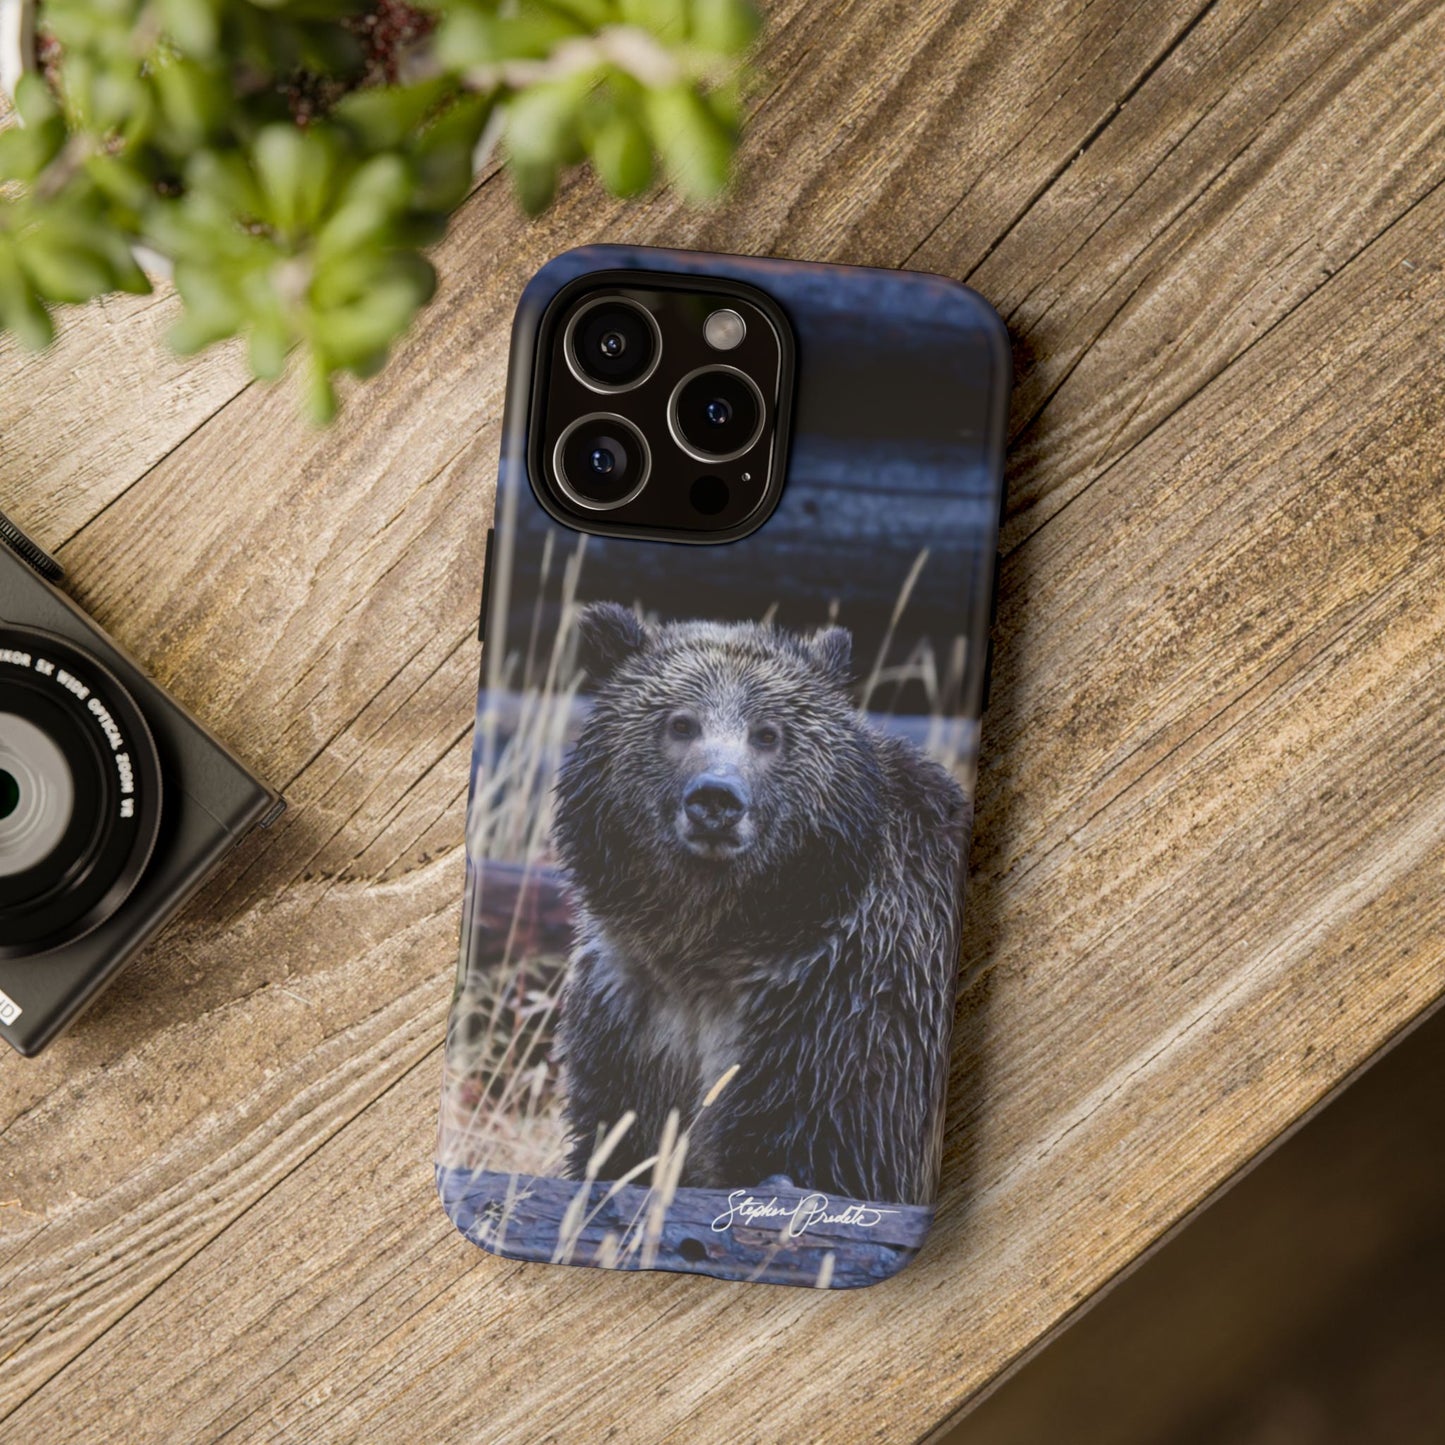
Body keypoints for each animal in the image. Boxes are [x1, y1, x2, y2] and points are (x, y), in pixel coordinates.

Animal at [551, 602, 970, 1205]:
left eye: (768, 733)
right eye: (681, 723)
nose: (716, 799)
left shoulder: (845, 1017)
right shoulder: (632, 1013)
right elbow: (615, 1140)